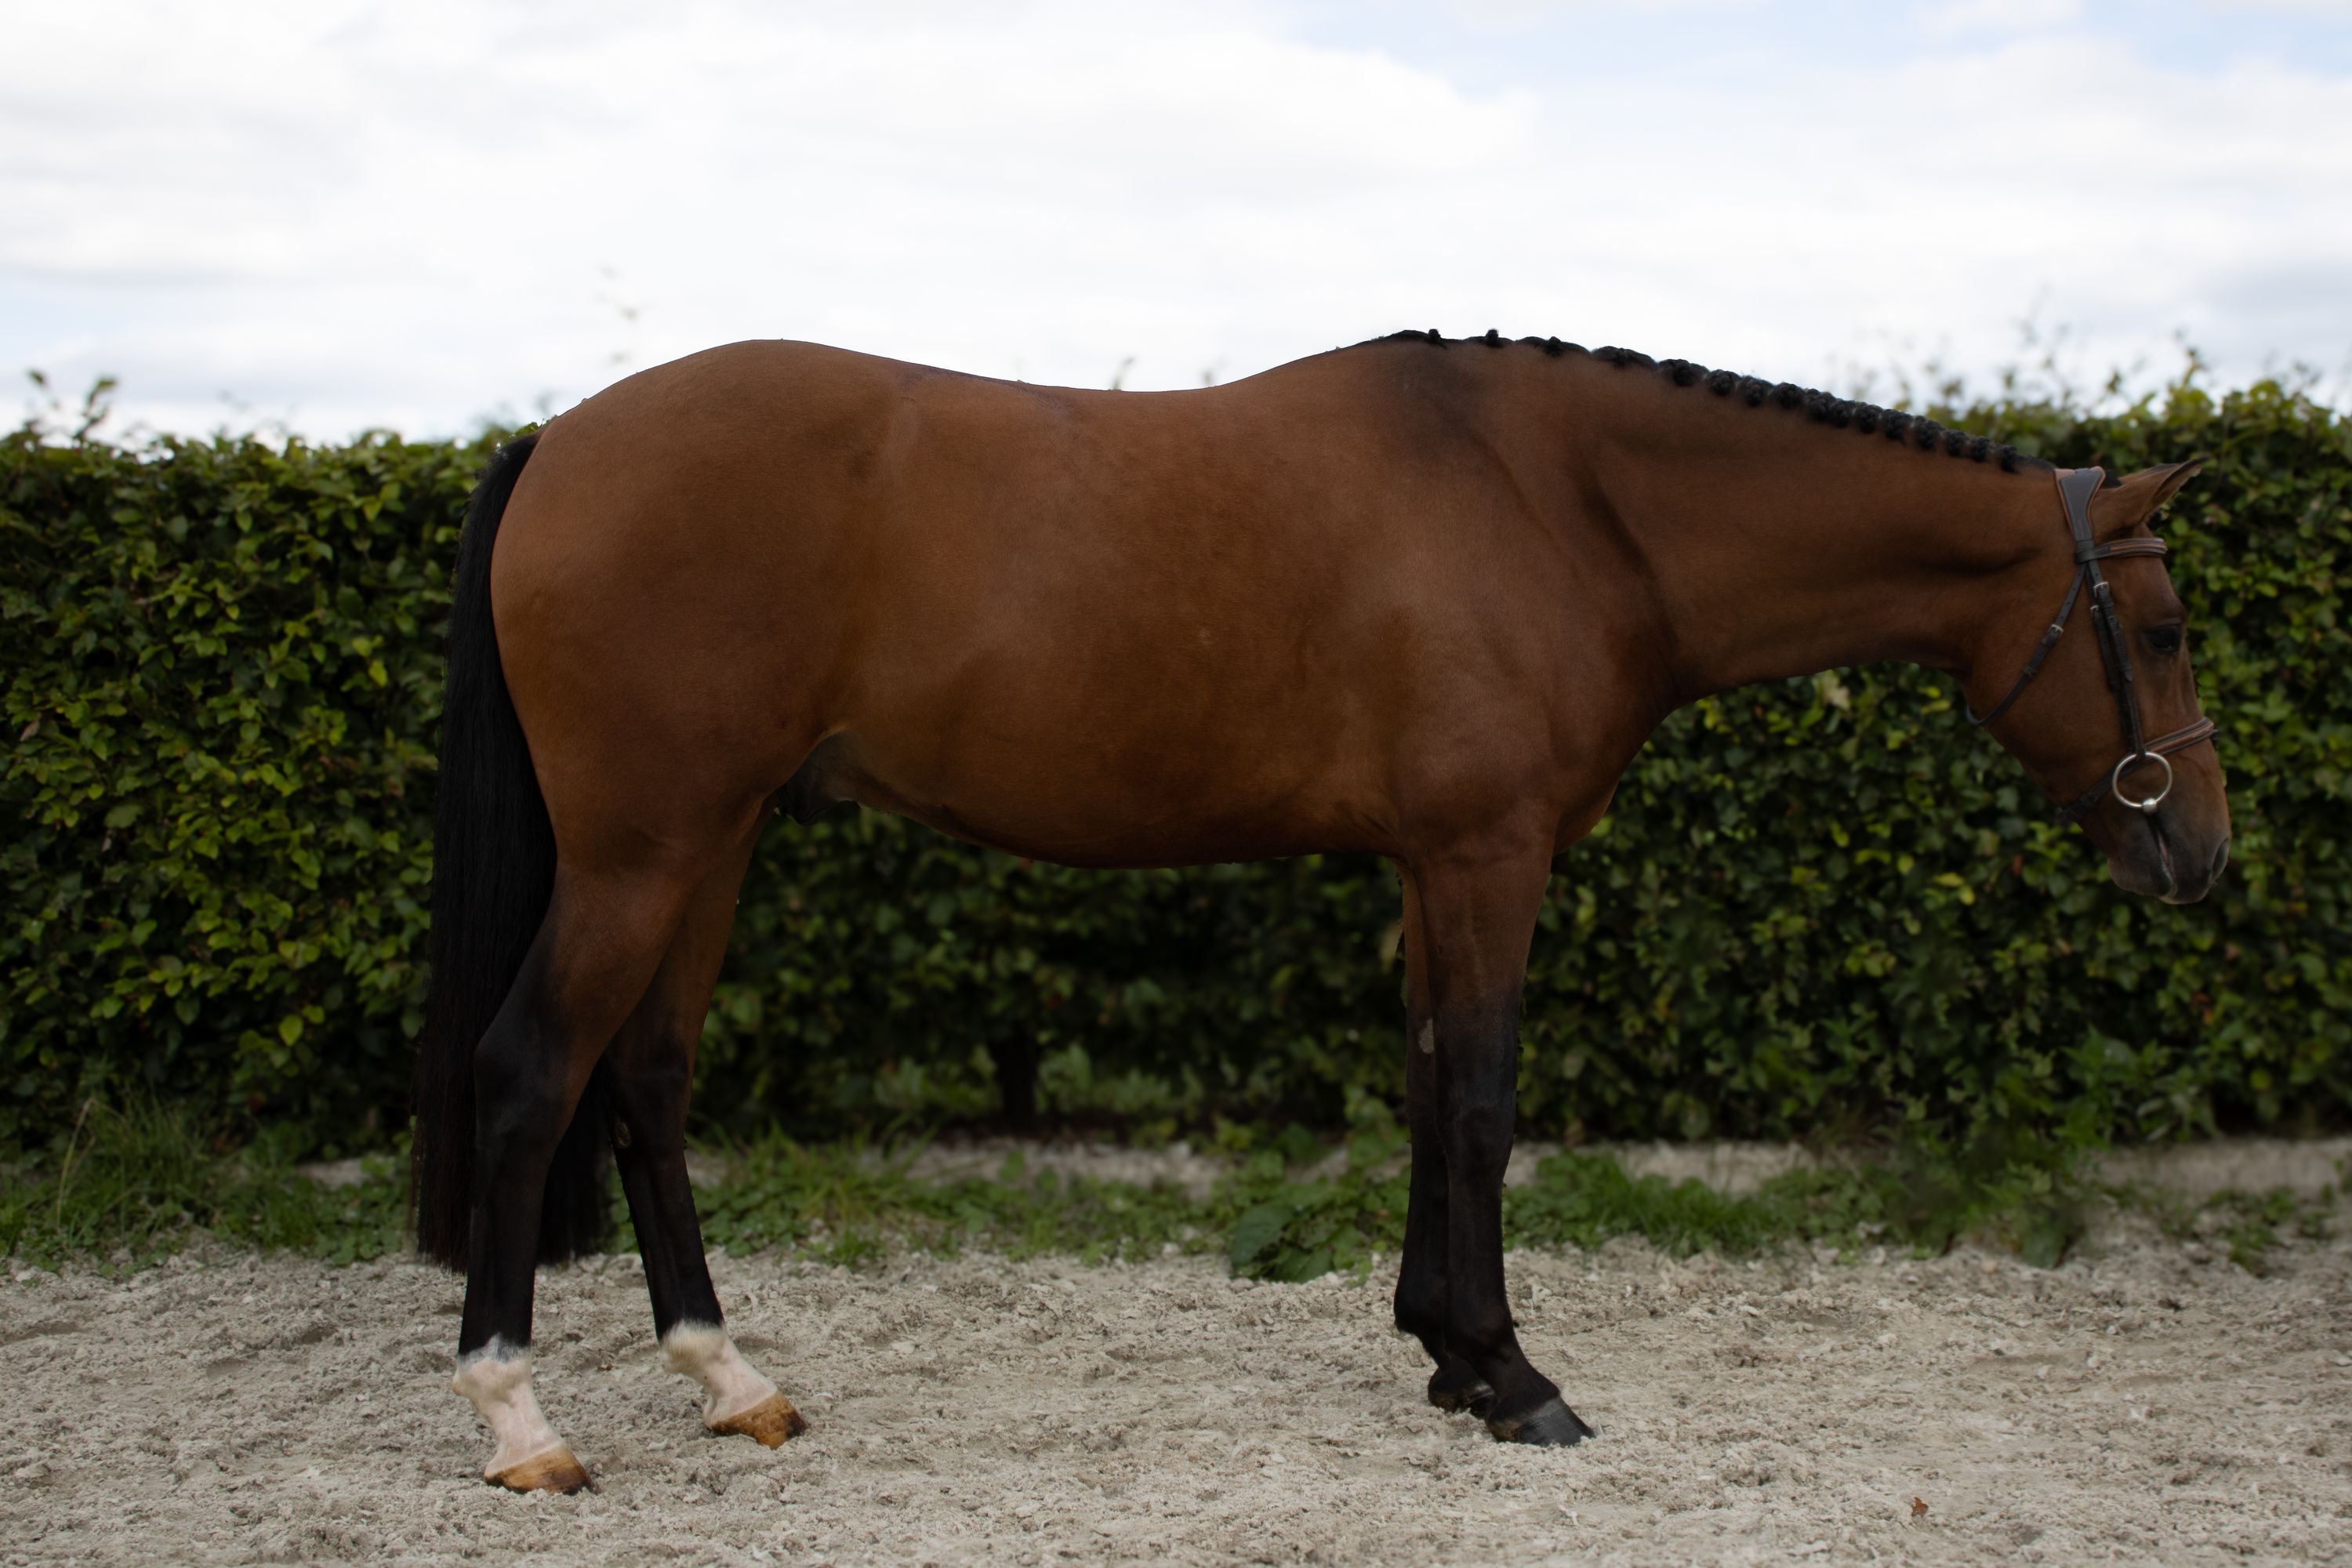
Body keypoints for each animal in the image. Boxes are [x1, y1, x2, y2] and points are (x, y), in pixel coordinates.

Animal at [410, 329, 2228, 1491]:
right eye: (2164, 626)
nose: (2199, 855)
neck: (1566, 502)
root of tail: (562, 439)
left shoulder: (1434, 864)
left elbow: (1428, 1088)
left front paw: (1443, 1353)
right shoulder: (1491, 854)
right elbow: (1484, 1101)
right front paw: (1514, 1376)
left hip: (711, 844)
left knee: (644, 1082)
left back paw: (733, 1383)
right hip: (644, 850)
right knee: (525, 1074)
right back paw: (520, 1422)